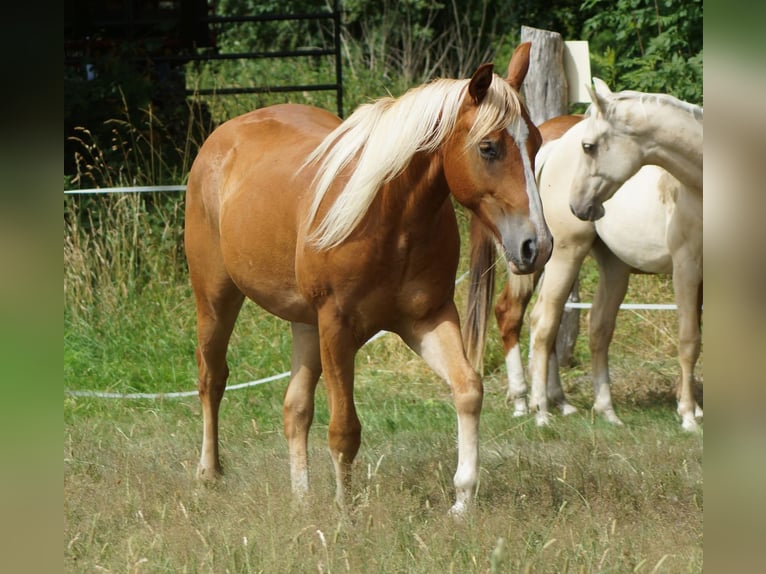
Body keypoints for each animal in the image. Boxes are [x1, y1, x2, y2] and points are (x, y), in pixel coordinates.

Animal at [184, 41, 552, 515]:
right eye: (488, 148)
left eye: (536, 142)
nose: (537, 245)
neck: (391, 217)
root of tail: (223, 137)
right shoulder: (338, 328)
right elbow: (344, 428)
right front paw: (346, 510)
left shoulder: (427, 319)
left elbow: (468, 389)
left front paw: (463, 499)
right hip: (216, 300)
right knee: (212, 379)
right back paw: (209, 474)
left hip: (305, 324)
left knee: (294, 408)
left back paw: (302, 500)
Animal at [464, 105, 703, 431]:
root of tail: (551, 150)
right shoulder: (687, 267)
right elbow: (690, 338)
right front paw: (689, 414)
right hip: (558, 257)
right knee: (533, 318)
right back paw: (535, 407)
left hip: (604, 265)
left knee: (589, 326)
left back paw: (582, 405)